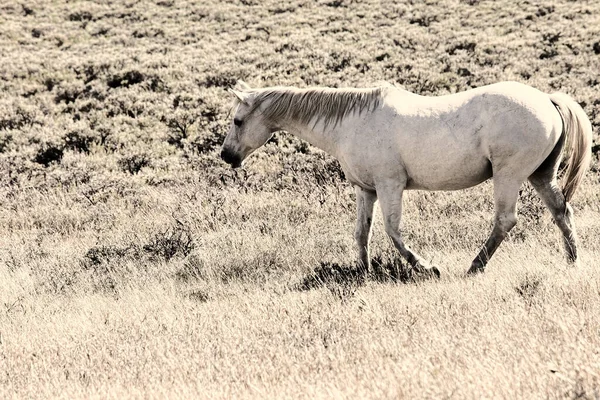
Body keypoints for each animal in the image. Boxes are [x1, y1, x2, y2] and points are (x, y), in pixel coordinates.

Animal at [220, 80, 592, 276]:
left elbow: (392, 231)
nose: (227, 156)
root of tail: (547, 99)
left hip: (509, 176)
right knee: (562, 212)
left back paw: (474, 266)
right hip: (540, 175)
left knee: (505, 220)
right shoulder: (366, 190)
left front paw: (427, 267)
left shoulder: (390, 186)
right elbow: (362, 233)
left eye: (238, 121)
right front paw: (364, 271)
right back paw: (572, 261)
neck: (352, 122)